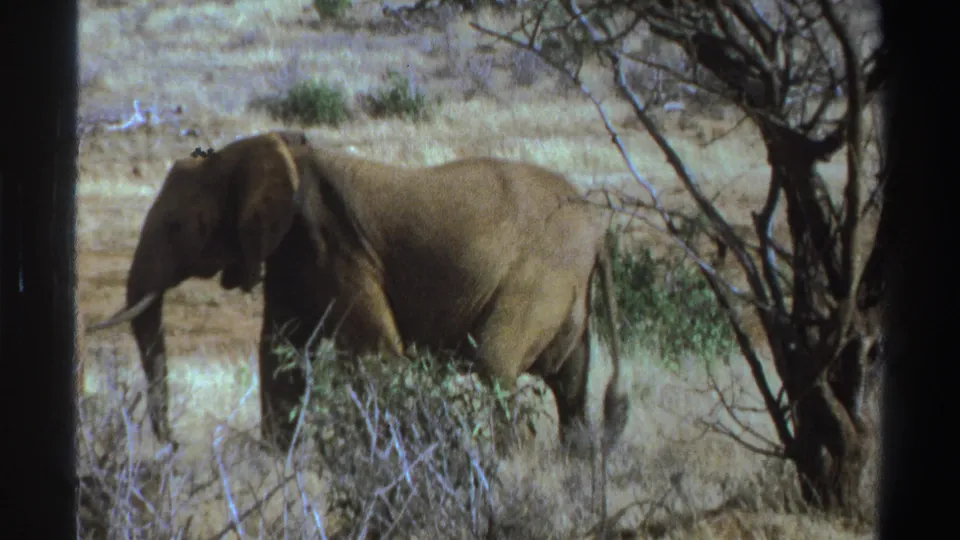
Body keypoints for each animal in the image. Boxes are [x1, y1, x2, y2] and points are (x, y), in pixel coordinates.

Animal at [89, 131, 631, 455]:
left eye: (176, 227)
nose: (173, 447)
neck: (265, 150)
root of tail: (599, 228)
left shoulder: (334, 245)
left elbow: (375, 356)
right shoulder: (291, 255)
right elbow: (282, 356)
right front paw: (276, 464)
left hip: (540, 273)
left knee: (496, 365)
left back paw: (508, 466)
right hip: (566, 287)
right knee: (571, 385)